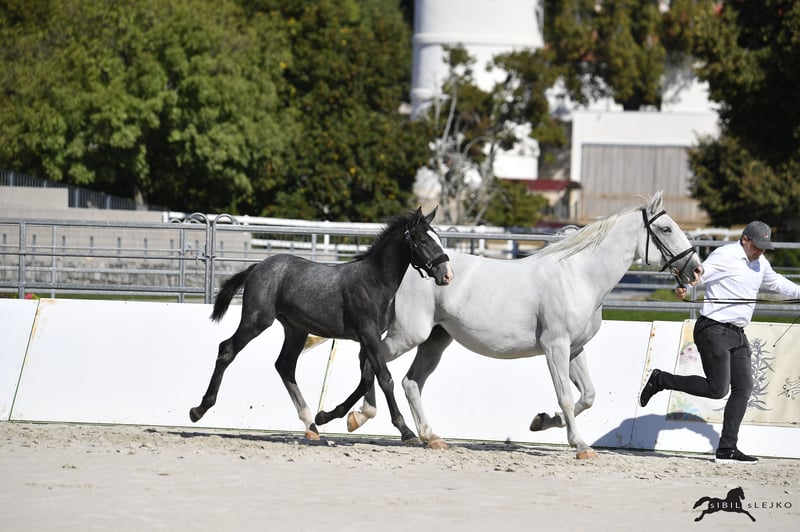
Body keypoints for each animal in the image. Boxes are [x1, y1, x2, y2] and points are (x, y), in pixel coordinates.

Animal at [189, 207, 454, 442]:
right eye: (423, 240)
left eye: (437, 238)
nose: (447, 274)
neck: (374, 282)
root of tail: (257, 267)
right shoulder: (368, 334)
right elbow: (384, 378)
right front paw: (406, 431)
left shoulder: (370, 339)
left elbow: (366, 379)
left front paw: (327, 415)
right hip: (257, 320)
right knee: (227, 350)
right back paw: (198, 410)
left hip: (296, 329)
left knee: (285, 366)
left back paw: (311, 424)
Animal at [315, 192, 703, 458]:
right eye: (666, 228)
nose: (696, 269)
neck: (578, 276)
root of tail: (417, 268)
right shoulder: (555, 347)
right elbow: (566, 396)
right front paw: (579, 445)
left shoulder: (574, 348)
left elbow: (587, 396)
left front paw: (542, 422)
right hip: (409, 334)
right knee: (372, 360)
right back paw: (351, 417)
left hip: (436, 340)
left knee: (410, 382)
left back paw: (428, 436)